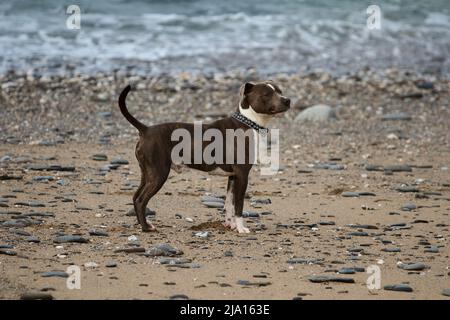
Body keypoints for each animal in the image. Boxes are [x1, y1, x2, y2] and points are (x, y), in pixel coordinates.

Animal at [118, 81, 290, 234]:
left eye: (280, 91)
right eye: (267, 94)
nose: (287, 100)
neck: (249, 122)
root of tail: (145, 129)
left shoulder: (233, 177)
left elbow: (229, 203)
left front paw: (230, 225)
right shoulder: (242, 175)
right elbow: (239, 206)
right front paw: (241, 228)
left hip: (147, 173)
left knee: (135, 196)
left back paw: (145, 224)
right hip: (158, 174)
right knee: (141, 200)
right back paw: (146, 228)